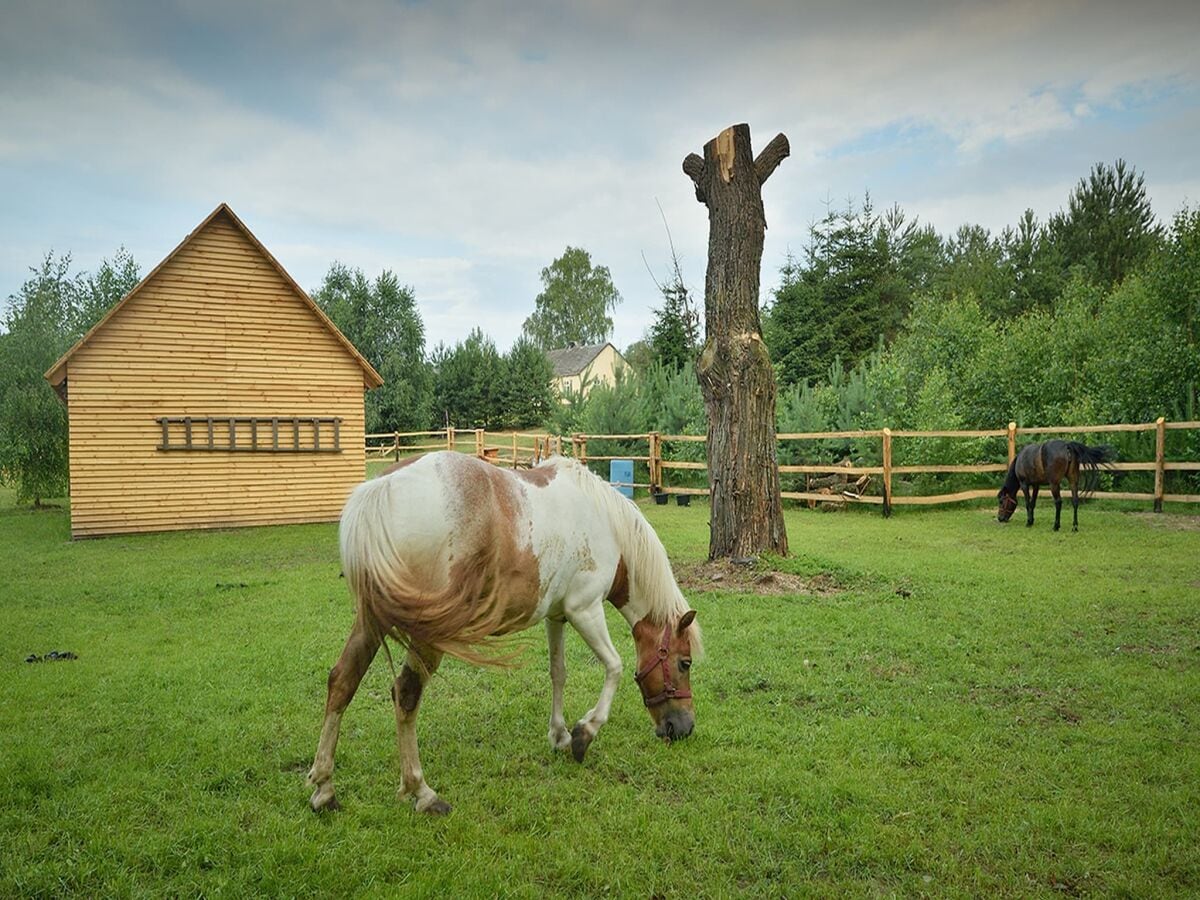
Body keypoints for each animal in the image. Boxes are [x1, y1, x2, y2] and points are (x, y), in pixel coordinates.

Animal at [307, 453, 700, 816]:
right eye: (685, 663)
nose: (683, 728)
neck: (607, 524)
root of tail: (381, 488)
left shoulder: (557, 616)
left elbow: (558, 673)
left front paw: (559, 735)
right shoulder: (584, 609)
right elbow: (615, 667)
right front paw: (583, 735)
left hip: (371, 621)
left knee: (342, 681)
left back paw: (324, 788)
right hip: (425, 633)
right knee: (405, 694)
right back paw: (422, 792)